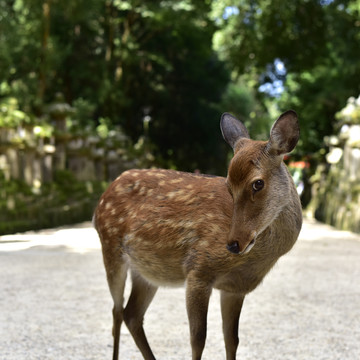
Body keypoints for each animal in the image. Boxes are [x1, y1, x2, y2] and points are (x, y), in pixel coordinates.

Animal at [94, 110, 302, 360]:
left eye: (258, 183)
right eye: (229, 186)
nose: (233, 244)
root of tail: (101, 200)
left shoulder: (234, 288)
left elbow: (232, 339)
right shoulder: (198, 269)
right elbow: (197, 339)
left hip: (146, 272)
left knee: (131, 314)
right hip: (110, 248)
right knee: (116, 311)